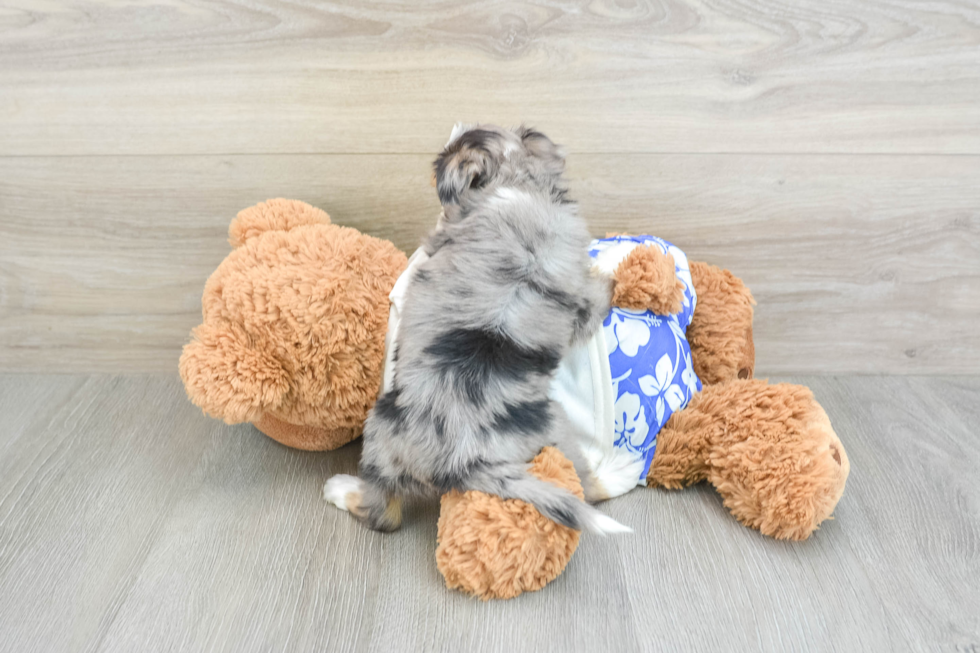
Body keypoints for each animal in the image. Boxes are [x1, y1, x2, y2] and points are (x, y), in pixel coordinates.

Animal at [322, 123, 628, 536]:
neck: (521, 185)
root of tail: (464, 457)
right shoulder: (580, 299)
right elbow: (596, 295)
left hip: (381, 430)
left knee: (383, 513)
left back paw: (339, 489)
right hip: (556, 432)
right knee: (585, 485)